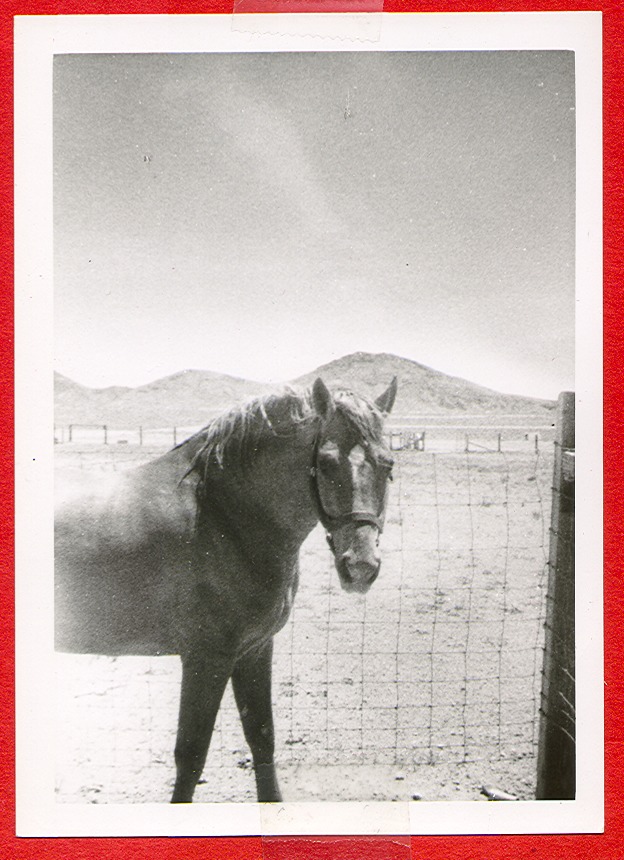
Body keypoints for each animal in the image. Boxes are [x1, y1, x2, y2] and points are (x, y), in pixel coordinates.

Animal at [53, 378, 394, 808]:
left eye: (389, 465)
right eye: (328, 462)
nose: (361, 566)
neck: (223, 517)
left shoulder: (254, 650)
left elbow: (262, 739)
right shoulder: (206, 657)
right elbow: (191, 754)